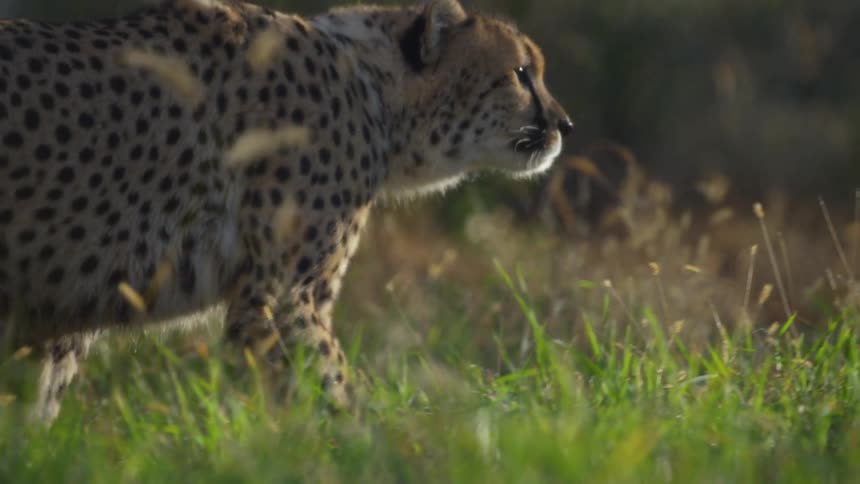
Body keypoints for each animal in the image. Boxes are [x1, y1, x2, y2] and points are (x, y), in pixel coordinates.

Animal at [0, 0, 572, 423]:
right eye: (521, 73)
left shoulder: (53, 316)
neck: (373, 89)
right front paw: (387, 451)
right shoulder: (283, 300)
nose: (564, 124)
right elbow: (334, 396)